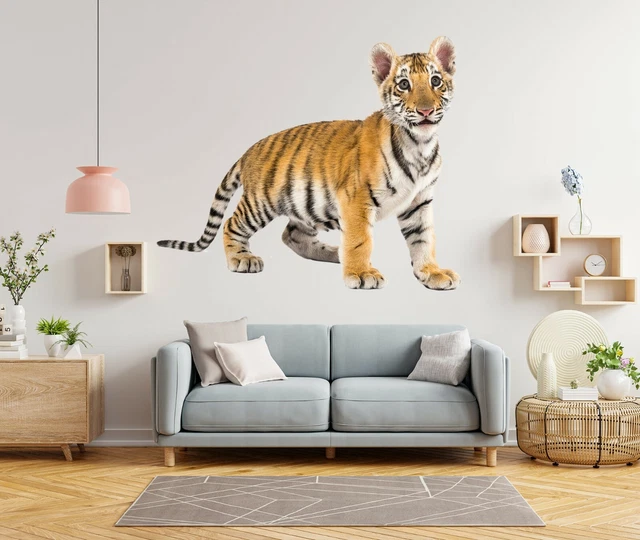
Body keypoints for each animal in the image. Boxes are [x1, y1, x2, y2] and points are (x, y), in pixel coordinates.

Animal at [158, 36, 460, 290]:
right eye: (404, 85)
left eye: (435, 81)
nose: (425, 110)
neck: (419, 145)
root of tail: (248, 151)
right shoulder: (356, 199)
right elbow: (360, 240)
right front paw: (361, 274)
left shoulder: (419, 201)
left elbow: (423, 239)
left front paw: (432, 272)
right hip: (261, 202)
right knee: (232, 222)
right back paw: (242, 258)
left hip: (310, 206)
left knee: (292, 235)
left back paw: (334, 253)